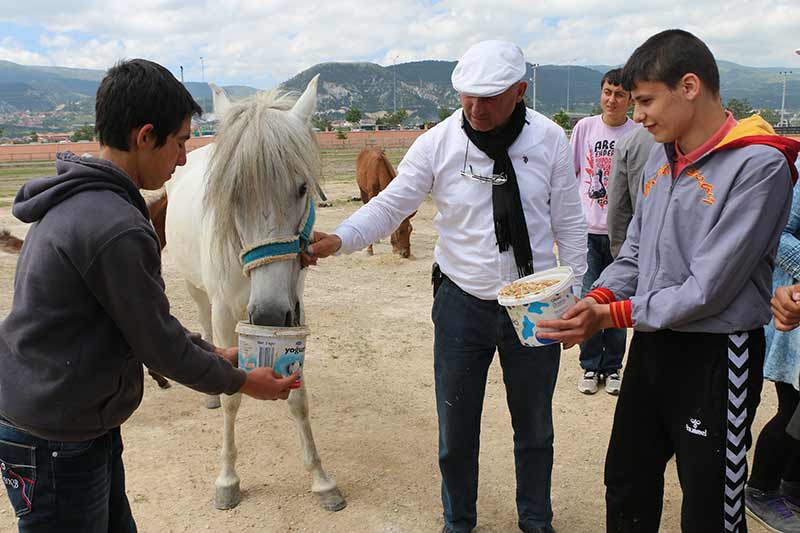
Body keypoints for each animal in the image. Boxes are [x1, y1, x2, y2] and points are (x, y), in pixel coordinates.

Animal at [164, 76, 346, 512]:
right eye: (232, 195)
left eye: (302, 187)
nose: (266, 316)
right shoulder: (227, 312)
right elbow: (233, 398)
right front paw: (227, 481)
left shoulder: (295, 308)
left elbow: (299, 398)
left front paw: (321, 481)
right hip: (196, 290)